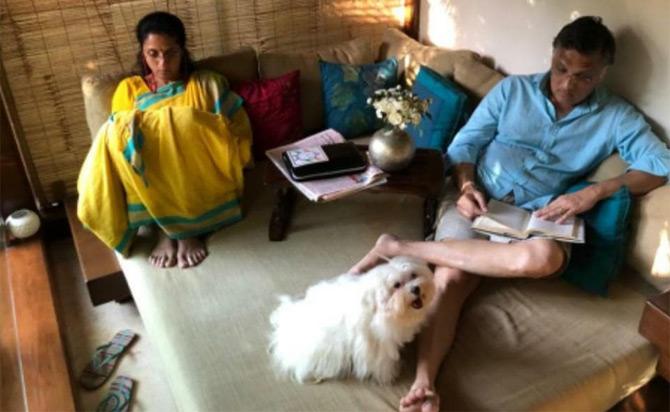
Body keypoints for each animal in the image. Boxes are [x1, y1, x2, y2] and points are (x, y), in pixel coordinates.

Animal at [270, 256, 438, 384]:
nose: (415, 288)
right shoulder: (377, 341)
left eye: (413, 275)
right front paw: (388, 374)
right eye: (397, 285)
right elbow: (383, 360)